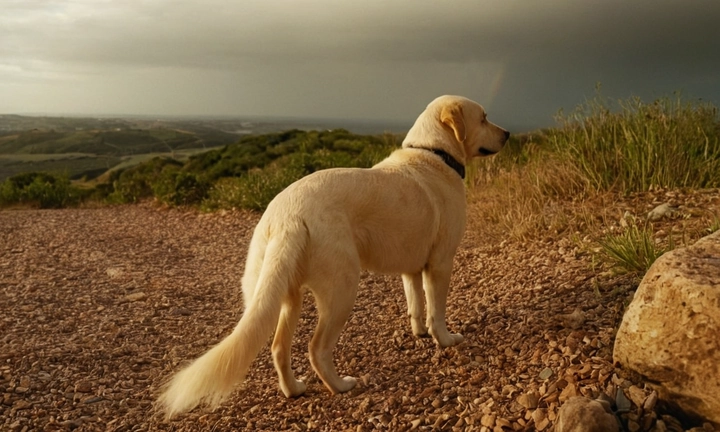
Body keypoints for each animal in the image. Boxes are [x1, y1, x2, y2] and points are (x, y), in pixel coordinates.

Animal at [158, 94, 510, 418]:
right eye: (484, 118)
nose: (507, 133)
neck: (433, 153)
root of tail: (286, 215)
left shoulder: (411, 268)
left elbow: (416, 304)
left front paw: (420, 333)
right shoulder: (440, 263)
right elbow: (437, 310)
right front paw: (446, 339)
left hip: (285, 296)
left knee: (278, 347)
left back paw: (294, 389)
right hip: (342, 289)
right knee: (316, 349)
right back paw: (340, 385)